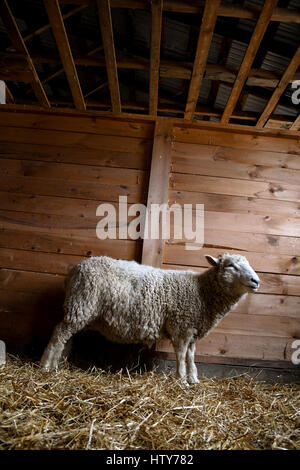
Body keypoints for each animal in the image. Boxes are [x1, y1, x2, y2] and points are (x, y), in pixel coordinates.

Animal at [40, 253, 260, 382]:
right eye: (230, 266)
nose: (256, 281)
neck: (202, 292)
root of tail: (74, 270)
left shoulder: (192, 330)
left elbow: (190, 356)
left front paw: (193, 379)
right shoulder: (181, 327)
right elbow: (181, 355)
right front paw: (181, 379)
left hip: (81, 310)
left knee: (67, 336)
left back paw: (58, 363)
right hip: (81, 304)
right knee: (59, 333)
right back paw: (46, 365)